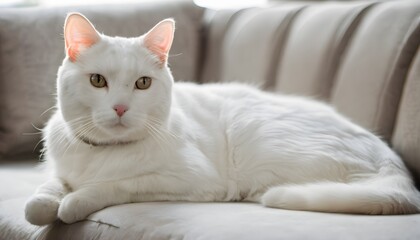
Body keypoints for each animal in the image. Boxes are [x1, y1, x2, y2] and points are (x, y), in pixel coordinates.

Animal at [24, 12, 418, 227]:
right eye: (97, 81)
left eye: (142, 84)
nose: (121, 108)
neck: (100, 153)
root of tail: (393, 163)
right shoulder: (58, 170)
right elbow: (44, 193)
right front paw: (46, 204)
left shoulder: (190, 180)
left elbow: (114, 186)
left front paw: (74, 203)